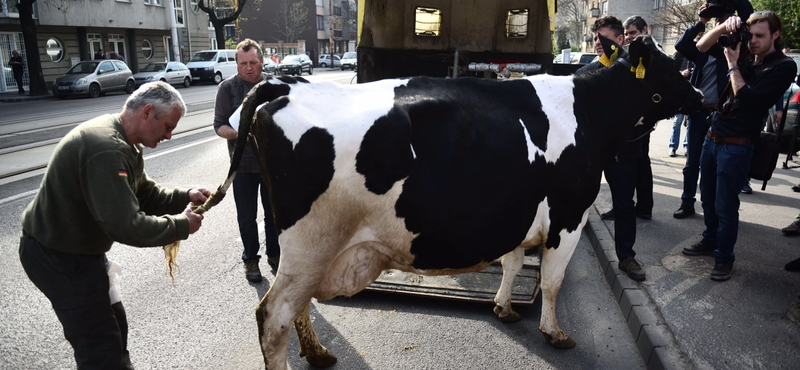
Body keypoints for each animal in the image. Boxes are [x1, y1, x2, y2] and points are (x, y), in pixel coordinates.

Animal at [225, 35, 700, 370]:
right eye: (672, 68)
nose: (700, 98)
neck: (589, 112)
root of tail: (285, 84)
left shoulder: (516, 213)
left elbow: (512, 264)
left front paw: (504, 308)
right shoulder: (569, 217)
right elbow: (551, 282)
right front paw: (554, 333)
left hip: (308, 249)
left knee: (296, 305)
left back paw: (319, 353)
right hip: (311, 243)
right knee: (274, 316)